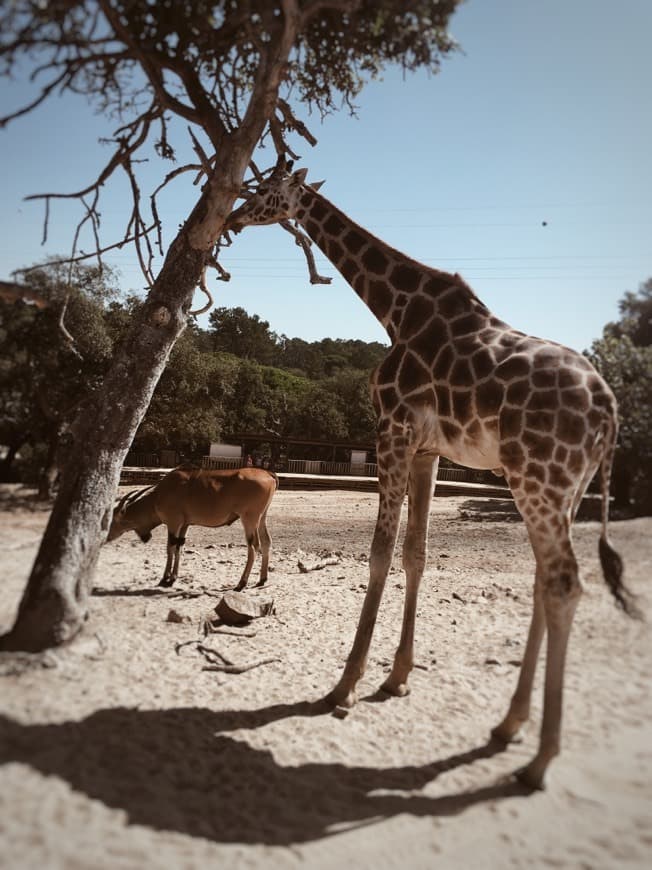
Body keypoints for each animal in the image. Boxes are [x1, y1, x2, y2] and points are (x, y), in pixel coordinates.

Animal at [106, 466, 278, 588]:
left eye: (111, 521)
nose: (105, 538)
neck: (158, 495)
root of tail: (269, 474)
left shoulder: (173, 523)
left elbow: (170, 548)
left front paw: (165, 578)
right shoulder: (184, 525)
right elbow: (179, 547)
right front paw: (174, 577)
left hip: (249, 518)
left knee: (253, 546)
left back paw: (241, 583)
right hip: (261, 518)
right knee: (266, 542)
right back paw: (262, 579)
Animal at [224, 164, 636, 792]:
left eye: (265, 191)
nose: (230, 217)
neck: (397, 310)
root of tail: (610, 414)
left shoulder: (391, 431)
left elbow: (379, 553)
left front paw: (344, 686)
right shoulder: (428, 451)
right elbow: (415, 552)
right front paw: (396, 678)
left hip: (538, 478)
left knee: (565, 582)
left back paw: (540, 759)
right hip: (562, 487)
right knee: (546, 579)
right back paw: (508, 725)